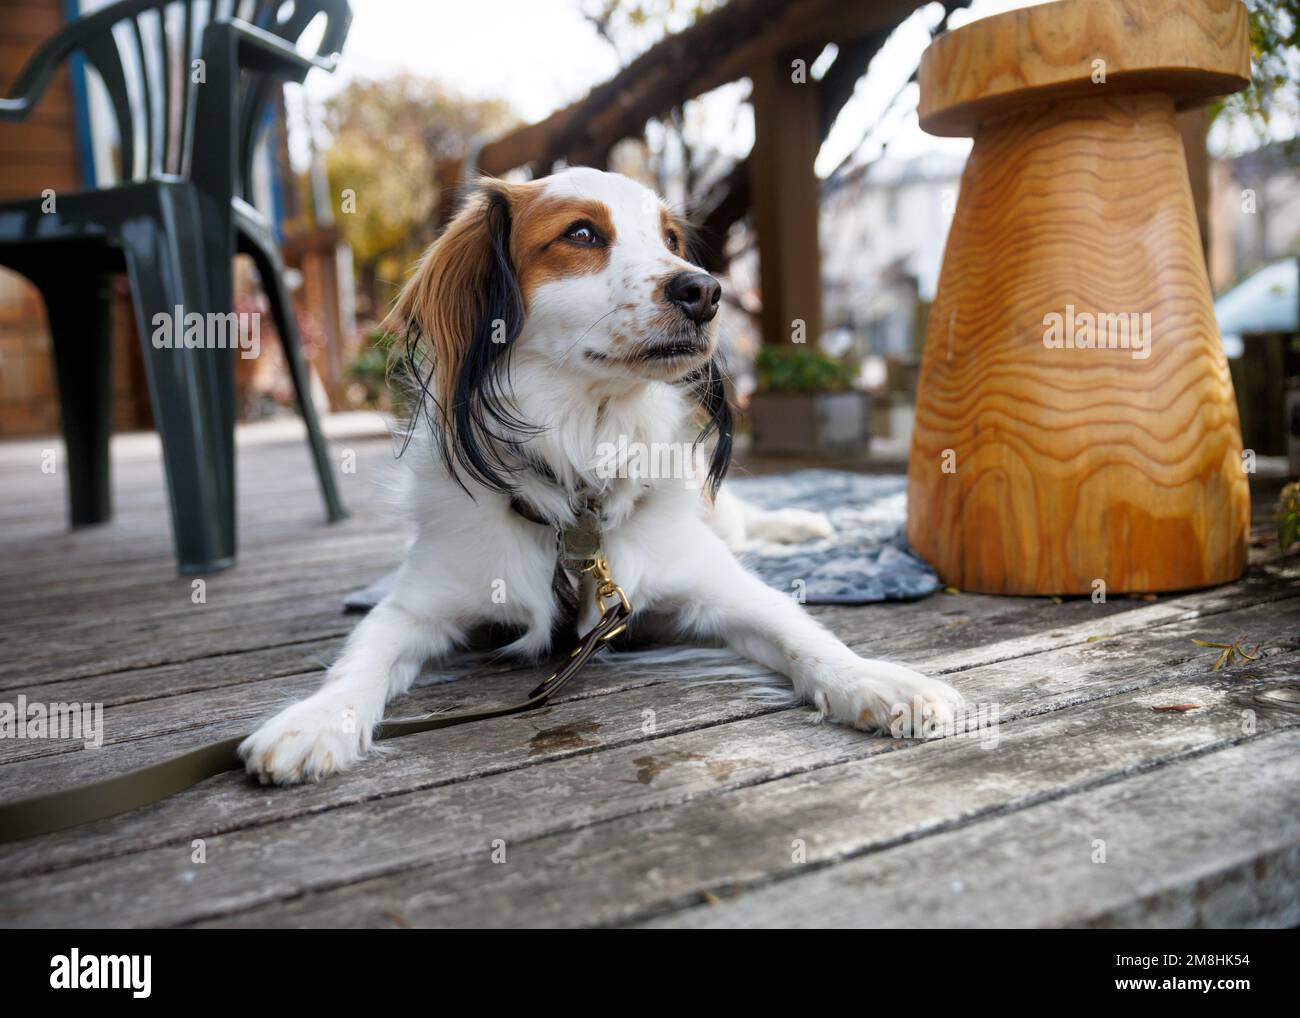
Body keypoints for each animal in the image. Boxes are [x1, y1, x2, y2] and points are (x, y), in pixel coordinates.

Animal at [239, 169, 961, 790]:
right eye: (582, 233)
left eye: (671, 240)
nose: (705, 291)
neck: (584, 457)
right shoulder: (416, 606)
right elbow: (359, 661)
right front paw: (314, 721)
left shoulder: (716, 586)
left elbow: (804, 633)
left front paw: (880, 683)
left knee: (742, 518)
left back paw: (802, 523)